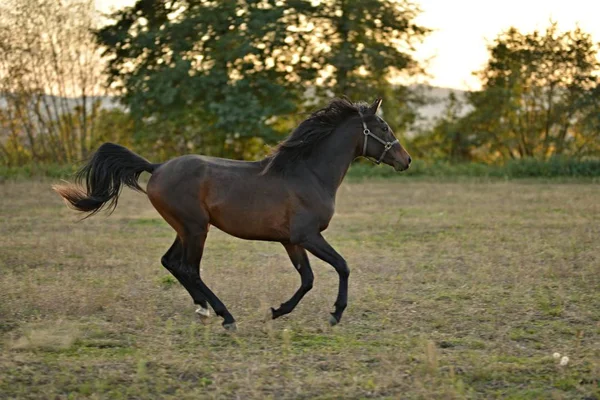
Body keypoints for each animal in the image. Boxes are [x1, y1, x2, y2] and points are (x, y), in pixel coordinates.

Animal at [52, 97, 412, 332]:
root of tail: (157, 167)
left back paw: (203, 310)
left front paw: (276, 312)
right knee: (189, 268)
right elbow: (342, 266)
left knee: (171, 263)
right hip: (196, 228)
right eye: (382, 126)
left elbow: (307, 279)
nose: (405, 160)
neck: (308, 173)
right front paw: (335, 314)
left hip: (185, 228)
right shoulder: (308, 236)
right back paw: (225, 316)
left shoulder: (291, 241)